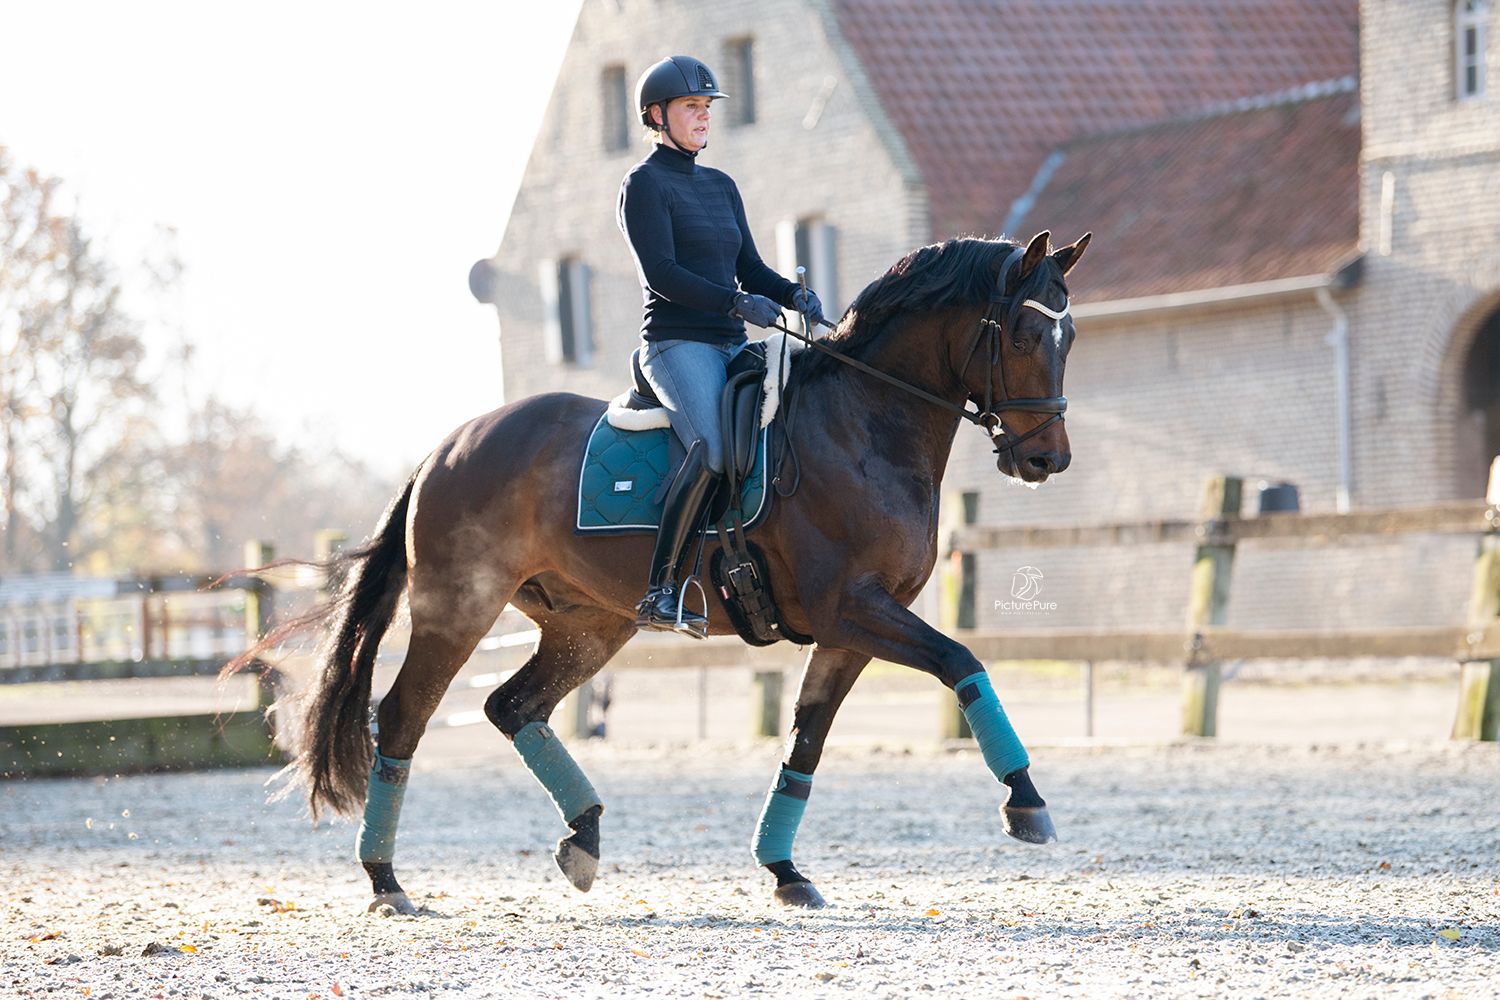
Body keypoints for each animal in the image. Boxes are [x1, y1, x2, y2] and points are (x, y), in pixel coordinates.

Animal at [228, 226, 1092, 917]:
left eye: (1071, 336)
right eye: (1023, 331)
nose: (1047, 461)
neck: (863, 426)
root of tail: (449, 446)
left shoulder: (849, 631)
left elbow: (806, 745)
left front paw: (784, 871)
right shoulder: (852, 609)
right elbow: (962, 660)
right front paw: (1027, 801)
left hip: (590, 625)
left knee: (514, 707)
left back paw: (583, 838)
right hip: (458, 611)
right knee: (403, 719)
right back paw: (387, 881)